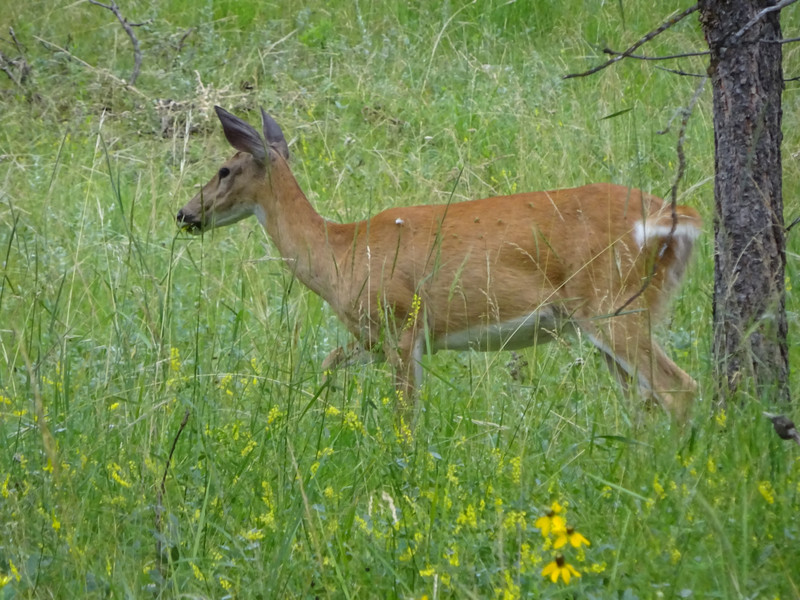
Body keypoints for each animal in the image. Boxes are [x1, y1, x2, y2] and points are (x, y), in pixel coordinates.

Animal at [177, 105, 700, 420]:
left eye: (224, 169)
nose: (184, 213)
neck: (340, 254)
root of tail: (677, 221)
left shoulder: (400, 323)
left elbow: (406, 412)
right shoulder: (371, 336)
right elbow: (328, 362)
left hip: (614, 303)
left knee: (679, 388)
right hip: (608, 317)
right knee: (643, 401)